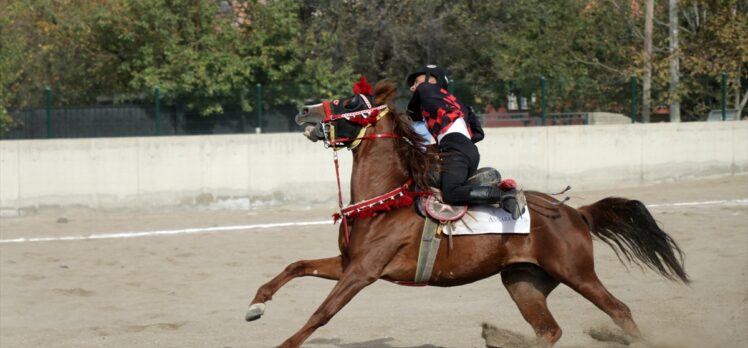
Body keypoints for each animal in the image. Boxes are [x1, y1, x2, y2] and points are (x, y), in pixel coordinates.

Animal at [247, 79, 688, 348]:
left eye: (350, 102)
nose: (304, 111)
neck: (384, 204)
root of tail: (575, 213)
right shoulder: (347, 263)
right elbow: (297, 265)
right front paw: (257, 303)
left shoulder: (362, 272)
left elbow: (322, 312)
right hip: (523, 281)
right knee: (549, 330)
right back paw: (499, 336)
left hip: (576, 273)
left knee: (619, 310)